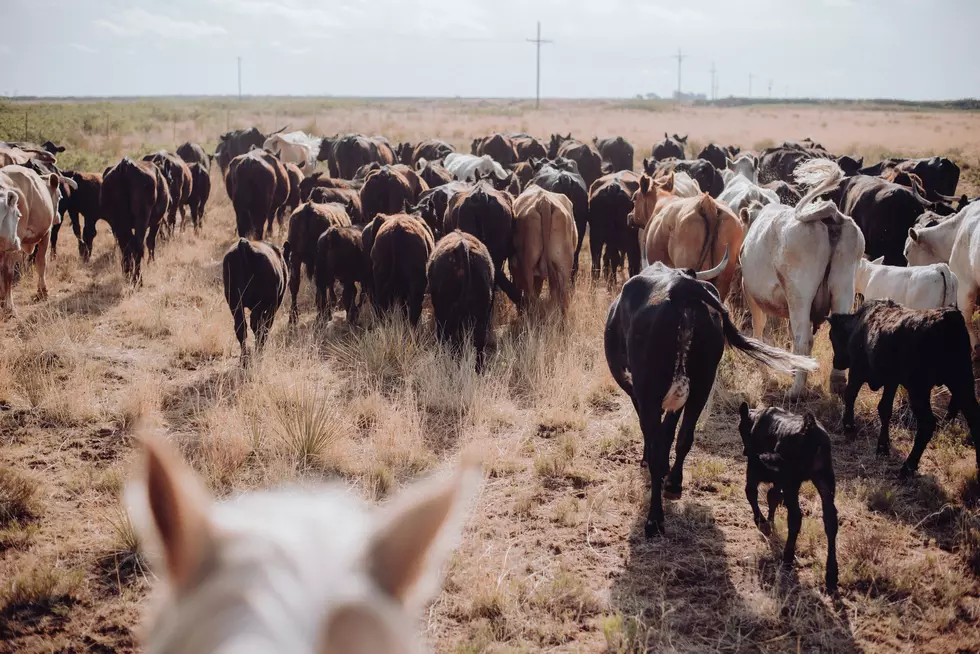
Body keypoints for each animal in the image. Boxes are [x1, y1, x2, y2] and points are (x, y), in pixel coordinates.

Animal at [428, 230, 495, 372]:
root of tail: (461, 247)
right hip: (481, 314)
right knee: (479, 342)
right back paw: (479, 370)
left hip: (445, 312)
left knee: (447, 338)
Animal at [605, 257, 816, 536]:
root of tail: (683, 286)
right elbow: (670, 433)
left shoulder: (641, 395)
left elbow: (655, 437)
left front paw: (648, 463)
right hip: (701, 386)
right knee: (685, 437)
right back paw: (673, 485)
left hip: (653, 391)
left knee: (660, 441)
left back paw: (654, 519)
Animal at [737, 403, 838, 593]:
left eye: (740, 428)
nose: (744, 451)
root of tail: (809, 428)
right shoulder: (781, 479)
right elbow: (773, 496)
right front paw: (769, 522)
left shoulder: (755, 467)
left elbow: (751, 492)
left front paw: (763, 523)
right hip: (825, 480)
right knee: (830, 521)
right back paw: (831, 575)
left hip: (792, 481)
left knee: (795, 517)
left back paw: (788, 559)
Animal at [741, 159, 866, 398]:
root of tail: (830, 215)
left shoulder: (751, 294)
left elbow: (758, 328)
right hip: (844, 287)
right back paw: (836, 384)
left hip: (799, 295)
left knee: (803, 339)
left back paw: (796, 390)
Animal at [829, 299, 980, 476]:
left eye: (832, 337)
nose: (837, 362)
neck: (859, 324)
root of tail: (948, 316)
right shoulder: (891, 381)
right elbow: (884, 409)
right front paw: (882, 446)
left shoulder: (857, 370)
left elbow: (850, 394)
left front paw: (849, 426)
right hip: (962, 383)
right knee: (974, 417)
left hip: (919, 389)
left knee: (927, 423)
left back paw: (908, 467)